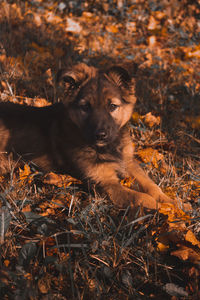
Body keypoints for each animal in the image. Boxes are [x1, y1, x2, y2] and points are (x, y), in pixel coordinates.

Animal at [0, 62, 173, 211]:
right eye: (85, 107)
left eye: (112, 106)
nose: (100, 135)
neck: (109, 147)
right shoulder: (104, 183)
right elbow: (141, 198)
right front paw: (160, 207)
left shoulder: (129, 163)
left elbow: (151, 185)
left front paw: (172, 203)